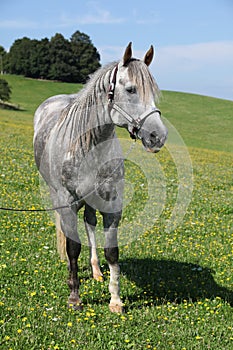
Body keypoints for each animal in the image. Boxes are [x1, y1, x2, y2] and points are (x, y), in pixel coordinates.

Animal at [33, 42, 167, 314]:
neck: (88, 146)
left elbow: (112, 251)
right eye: (131, 89)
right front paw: (74, 296)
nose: (158, 136)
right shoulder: (68, 203)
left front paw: (115, 299)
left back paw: (95, 271)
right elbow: (73, 248)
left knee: (90, 223)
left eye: (154, 93)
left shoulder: (112, 204)